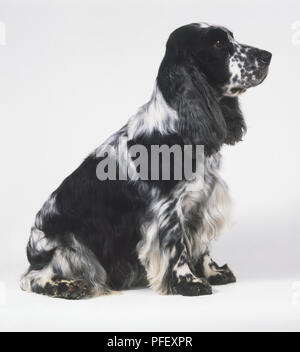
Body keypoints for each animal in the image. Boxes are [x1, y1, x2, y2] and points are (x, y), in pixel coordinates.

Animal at [19, 22, 270, 296]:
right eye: (217, 44)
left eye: (231, 37)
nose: (267, 56)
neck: (178, 126)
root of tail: (31, 248)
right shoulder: (167, 207)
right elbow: (177, 246)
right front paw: (189, 282)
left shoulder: (202, 202)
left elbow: (202, 245)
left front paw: (213, 273)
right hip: (70, 247)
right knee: (32, 278)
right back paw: (68, 286)